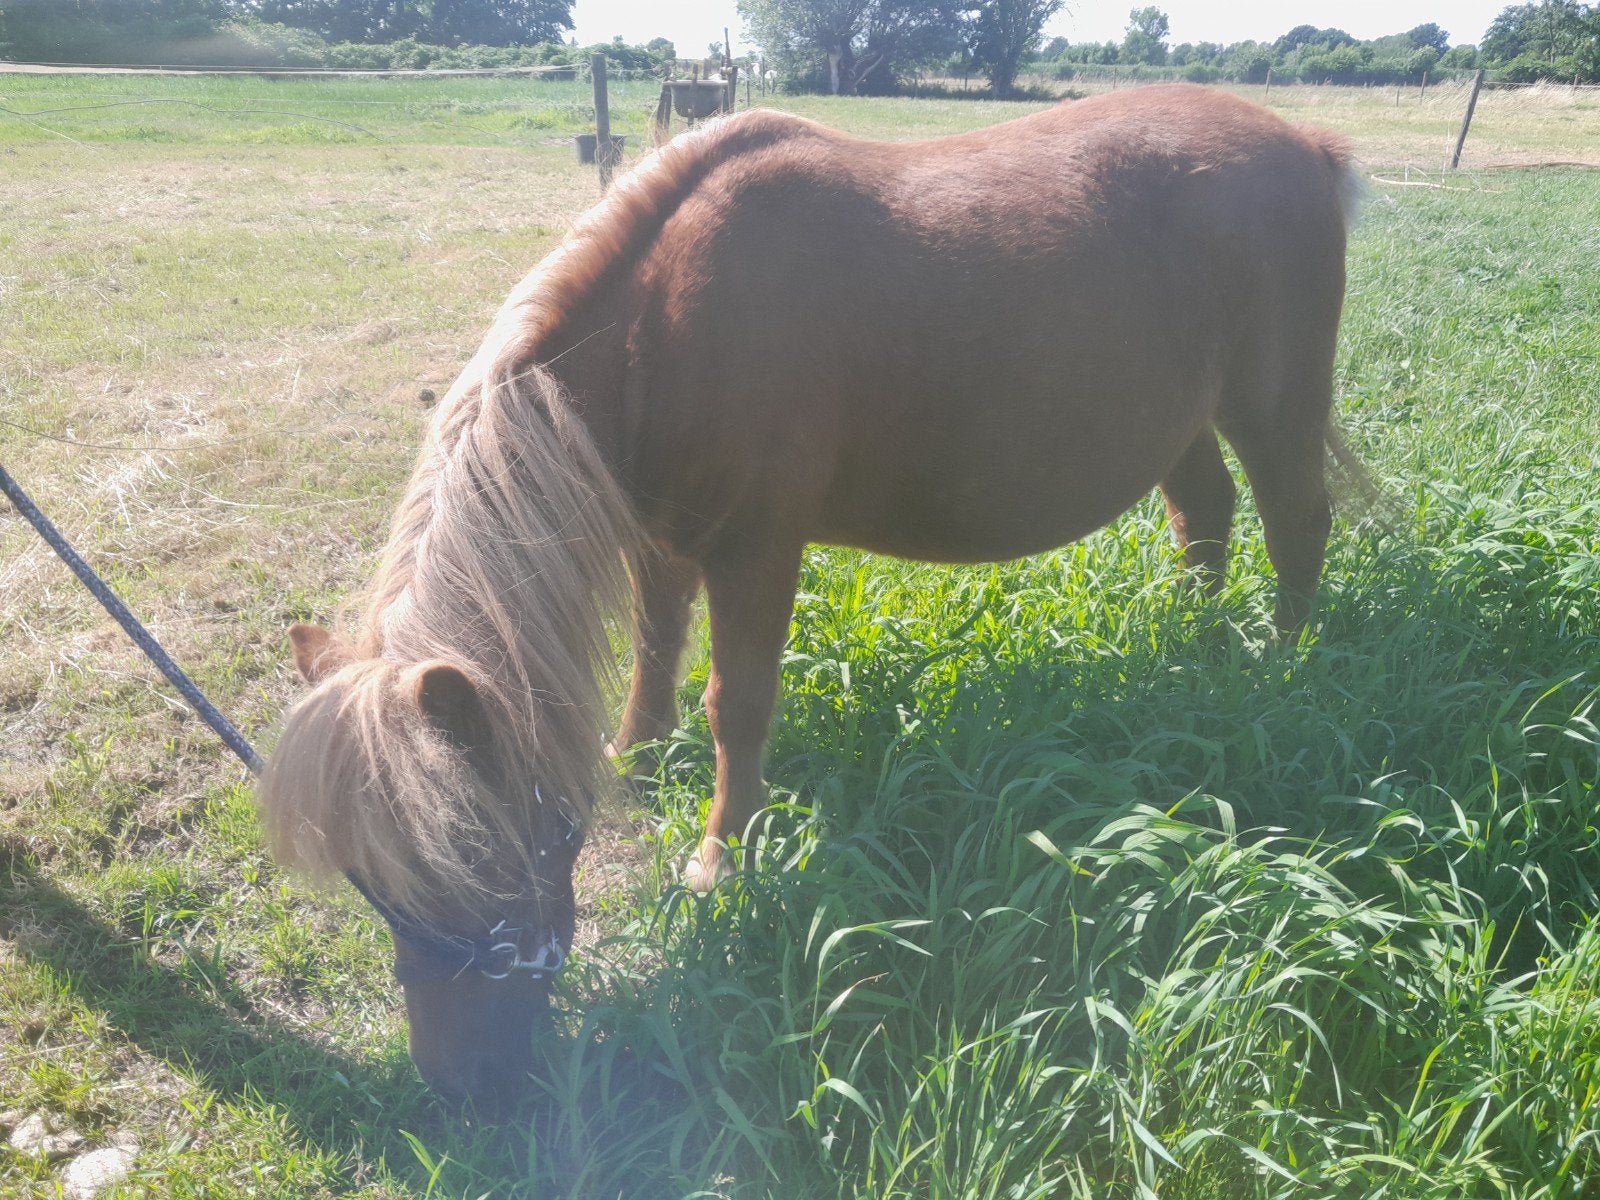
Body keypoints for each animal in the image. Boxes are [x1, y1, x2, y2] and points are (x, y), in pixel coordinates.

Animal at [257, 84, 1364, 1105]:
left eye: (472, 859)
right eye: (368, 881)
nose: (459, 1083)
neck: (662, 324)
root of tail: (1305, 141)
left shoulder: (756, 549)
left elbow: (735, 706)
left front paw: (721, 860)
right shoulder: (663, 537)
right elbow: (657, 647)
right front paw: (634, 757)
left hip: (1274, 402)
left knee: (1294, 523)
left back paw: (1281, 665)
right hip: (1182, 418)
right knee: (1204, 515)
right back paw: (1194, 646)